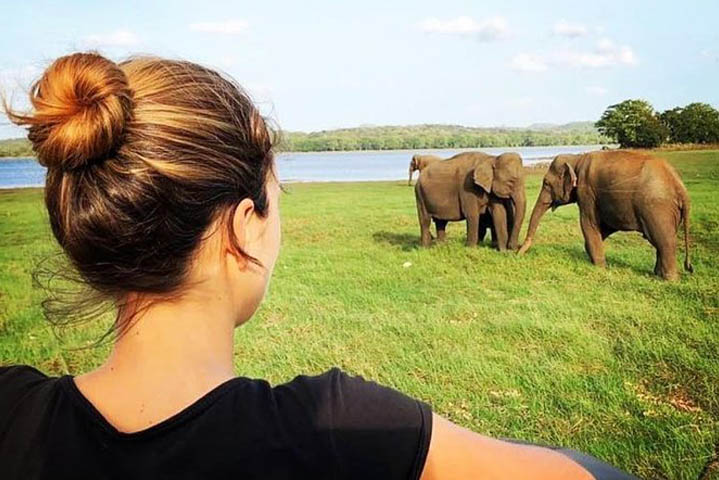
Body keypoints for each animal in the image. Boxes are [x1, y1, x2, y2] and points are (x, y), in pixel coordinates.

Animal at [520, 151, 696, 282]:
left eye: (546, 183)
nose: (518, 253)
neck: (576, 158)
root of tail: (681, 187)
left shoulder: (586, 192)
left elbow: (589, 224)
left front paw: (599, 267)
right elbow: (603, 227)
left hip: (657, 208)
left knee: (664, 241)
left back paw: (668, 280)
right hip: (670, 211)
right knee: (662, 240)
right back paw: (657, 274)